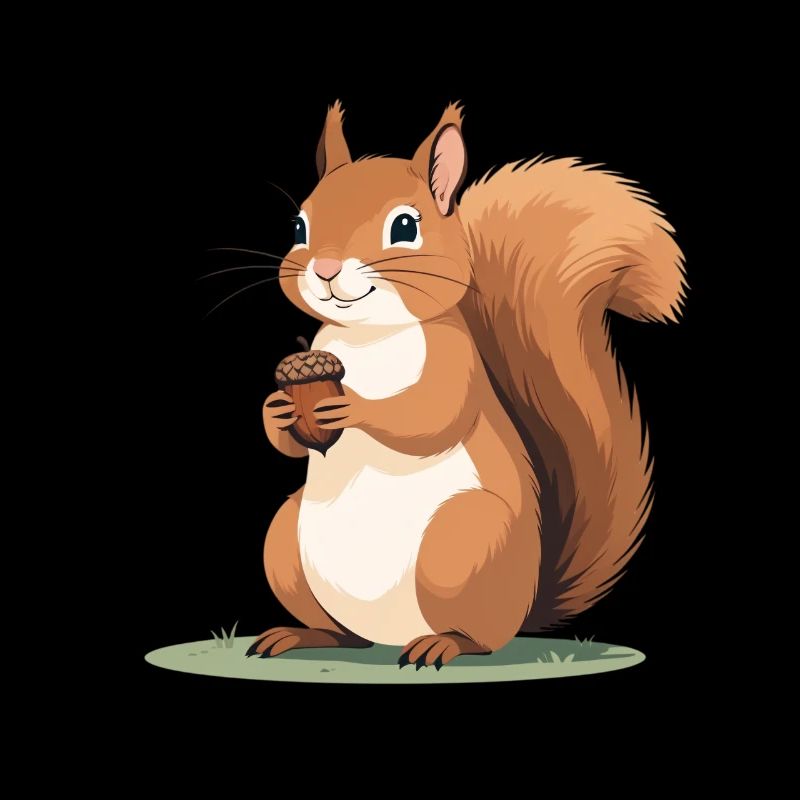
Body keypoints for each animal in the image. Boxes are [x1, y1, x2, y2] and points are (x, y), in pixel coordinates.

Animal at [250, 101, 685, 668]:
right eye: (299, 225)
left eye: (405, 226)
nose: (324, 268)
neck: (367, 334)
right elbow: (287, 439)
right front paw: (277, 409)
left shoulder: (455, 362)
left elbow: (430, 416)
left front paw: (354, 407)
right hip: (286, 541)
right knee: (342, 633)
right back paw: (301, 636)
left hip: (462, 542)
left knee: (480, 637)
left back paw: (442, 644)